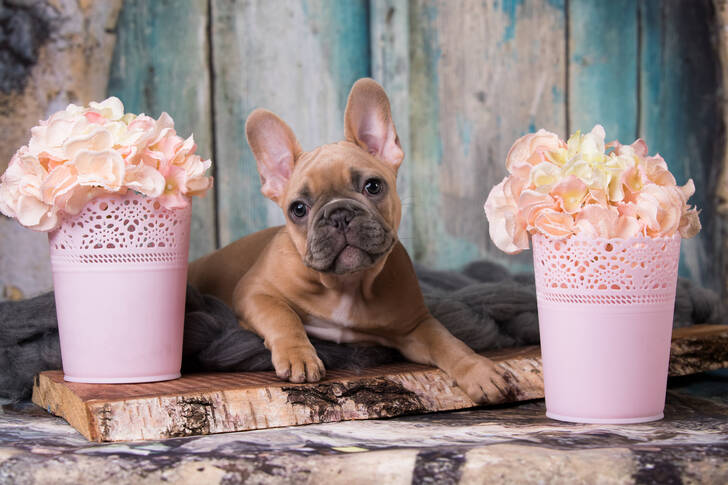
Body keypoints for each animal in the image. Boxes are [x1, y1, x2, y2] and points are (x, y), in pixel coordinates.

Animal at [191, 78, 516, 400]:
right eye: (298, 209)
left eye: (373, 186)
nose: (339, 214)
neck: (346, 284)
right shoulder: (254, 292)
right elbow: (282, 316)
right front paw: (299, 356)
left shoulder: (416, 326)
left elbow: (447, 342)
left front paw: (479, 371)